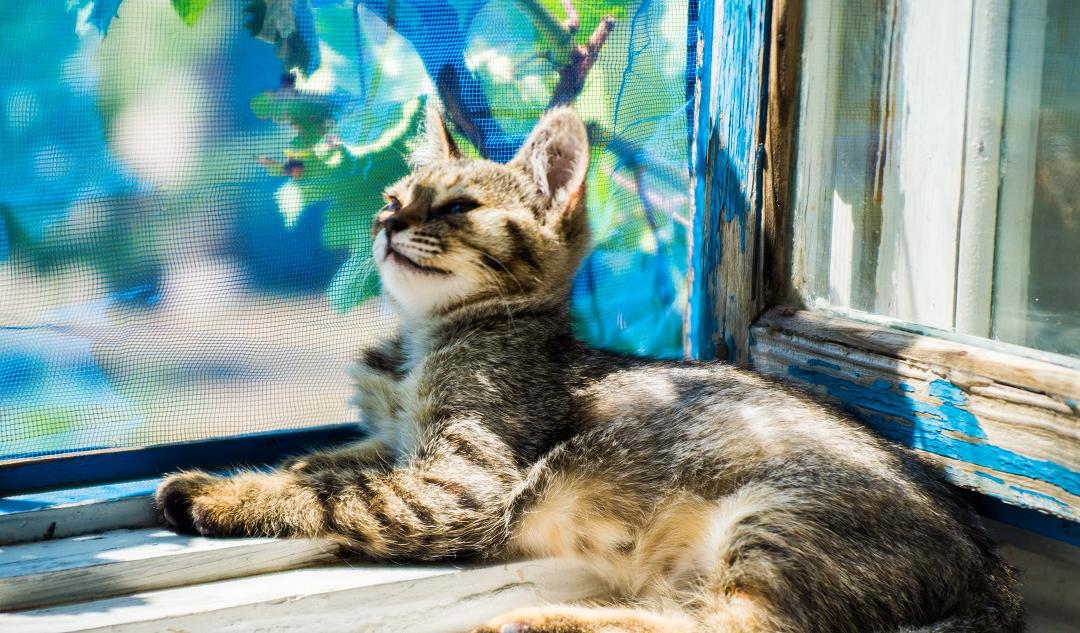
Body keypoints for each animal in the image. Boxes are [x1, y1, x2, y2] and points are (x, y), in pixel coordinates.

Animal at [156, 108, 1023, 630]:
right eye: (396, 196)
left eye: (457, 206)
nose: (386, 223)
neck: (424, 341)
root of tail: (993, 576)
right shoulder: (396, 441)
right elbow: (324, 460)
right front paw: (271, 467)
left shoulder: (460, 483)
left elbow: (336, 494)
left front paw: (218, 492)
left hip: (779, 514)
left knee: (732, 625)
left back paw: (542, 619)